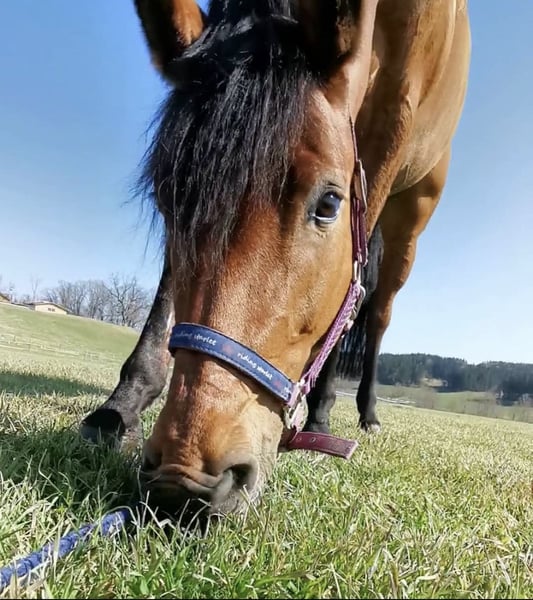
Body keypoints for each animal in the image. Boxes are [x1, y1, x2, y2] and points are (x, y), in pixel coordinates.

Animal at [80, 0, 471, 519]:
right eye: (167, 201)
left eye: (329, 203)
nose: (182, 480)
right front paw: (122, 405)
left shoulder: (393, 117)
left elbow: (354, 284)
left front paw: (319, 418)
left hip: (412, 213)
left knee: (379, 309)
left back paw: (357, 412)